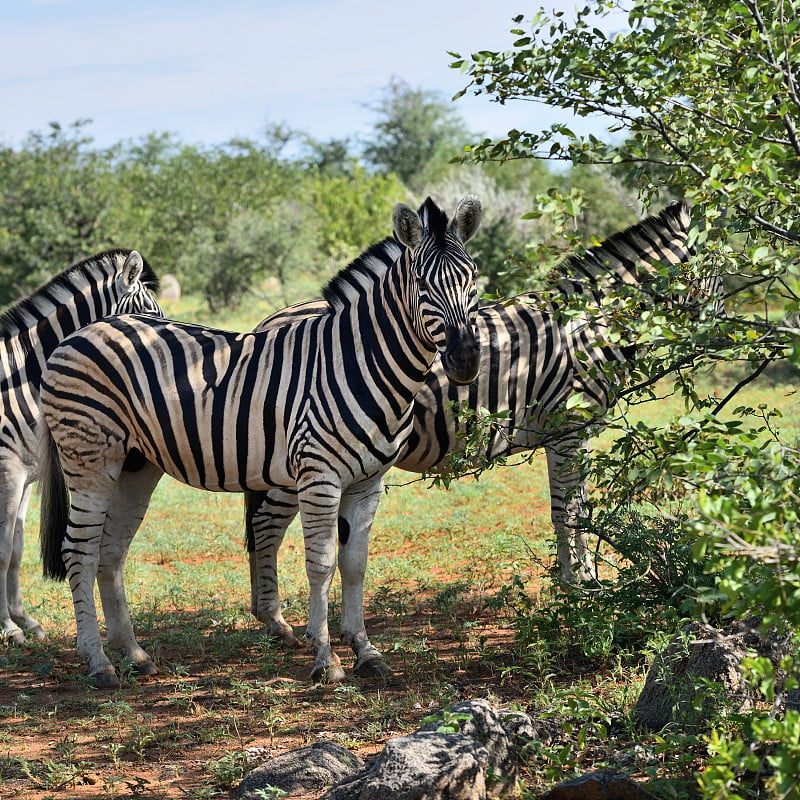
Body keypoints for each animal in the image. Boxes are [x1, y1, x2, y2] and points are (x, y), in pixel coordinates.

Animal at [0, 250, 162, 644]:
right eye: (148, 313)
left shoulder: (25, 477)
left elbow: (16, 548)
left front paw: (24, 619)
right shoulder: (8, 472)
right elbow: (2, 550)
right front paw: (9, 627)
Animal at [39, 195, 482, 688]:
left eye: (473, 278)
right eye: (422, 284)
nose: (465, 360)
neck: (359, 360)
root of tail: (77, 334)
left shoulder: (368, 481)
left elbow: (355, 563)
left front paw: (366, 651)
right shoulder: (319, 476)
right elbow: (321, 563)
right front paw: (326, 658)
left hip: (136, 465)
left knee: (110, 552)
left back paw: (134, 655)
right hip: (89, 460)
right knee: (79, 550)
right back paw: (98, 663)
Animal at [244, 200, 720, 636]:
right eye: (715, 268)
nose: (715, 341)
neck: (590, 327)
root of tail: (267, 322)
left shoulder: (563, 433)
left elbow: (567, 509)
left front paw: (575, 583)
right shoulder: (569, 429)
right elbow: (570, 512)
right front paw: (584, 588)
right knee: (267, 526)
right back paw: (275, 620)